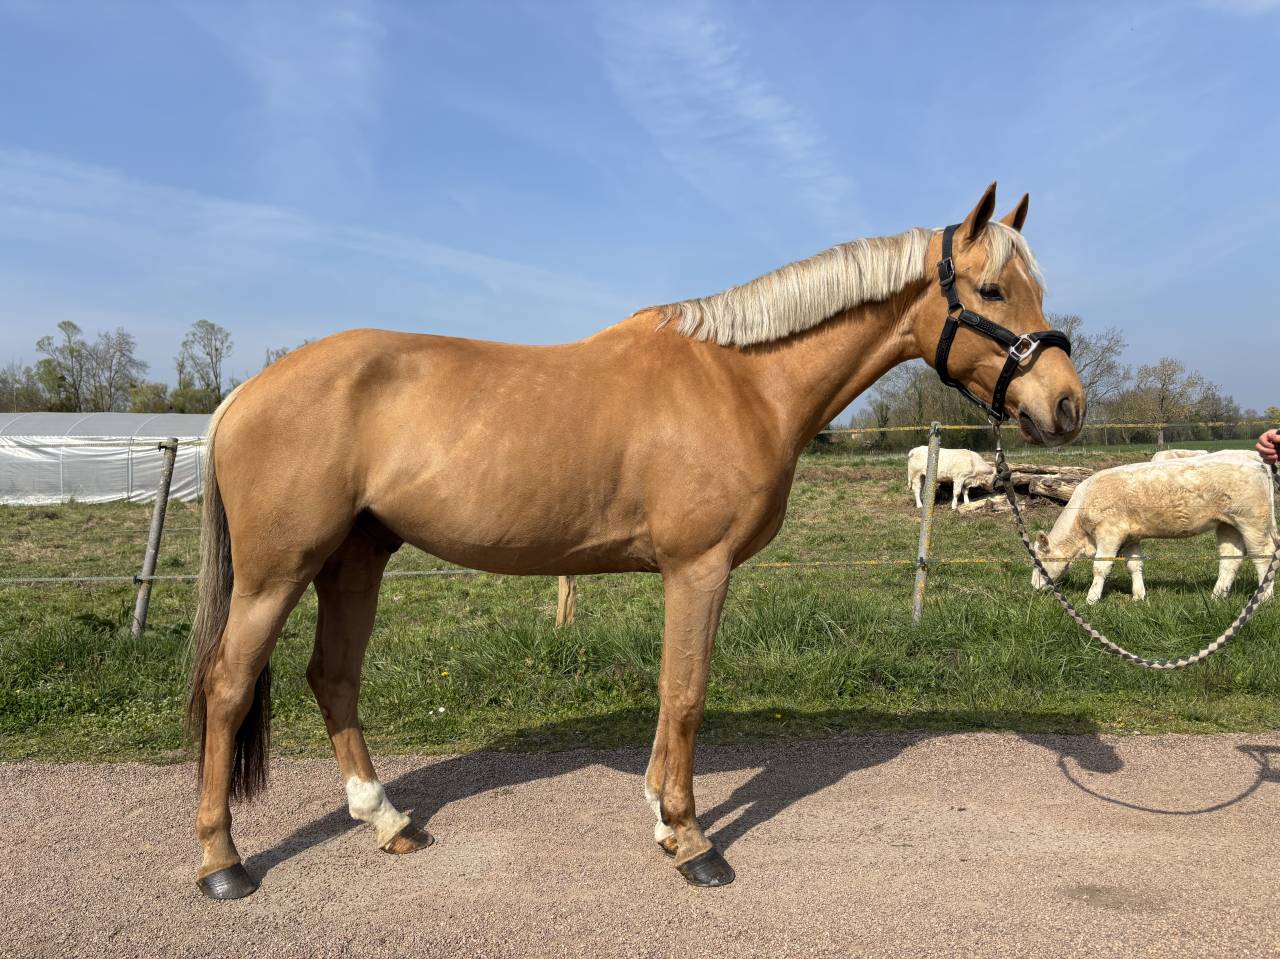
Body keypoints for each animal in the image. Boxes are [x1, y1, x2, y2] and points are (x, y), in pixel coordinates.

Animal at [187, 183, 1085, 899]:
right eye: (993, 289)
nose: (1067, 405)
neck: (742, 380)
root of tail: (245, 394)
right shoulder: (699, 568)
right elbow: (686, 693)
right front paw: (691, 841)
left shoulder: (686, 574)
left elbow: (670, 690)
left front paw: (660, 811)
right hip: (278, 573)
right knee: (228, 686)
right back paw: (222, 861)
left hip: (355, 559)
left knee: (333, 677)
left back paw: (387, 821)